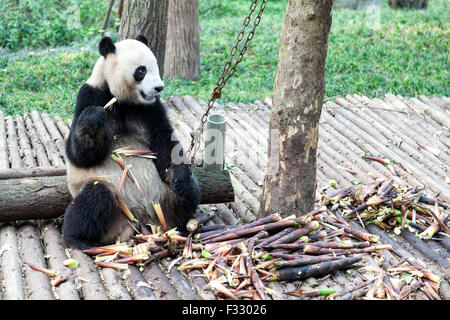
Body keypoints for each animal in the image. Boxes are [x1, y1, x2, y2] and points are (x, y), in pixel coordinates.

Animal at [62, 35, 200, 250]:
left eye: (156, 66)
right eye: (141, 70)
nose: (159, 87)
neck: (124, 100)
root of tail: (141, 221)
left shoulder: (151, 108)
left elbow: (164, 141)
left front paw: (178, 176)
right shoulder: (90, 94)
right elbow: (79, 155)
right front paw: (93, 119)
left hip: (162, 199)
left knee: (189, 193)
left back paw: (182, 222)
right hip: (115, 207)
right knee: (94, 198)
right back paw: (77, 238)